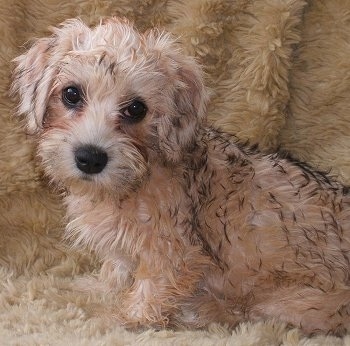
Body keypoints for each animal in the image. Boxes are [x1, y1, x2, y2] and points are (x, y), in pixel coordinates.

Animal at [10, 17, 350, 334]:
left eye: (136, 108)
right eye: (71, 94)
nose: (91, 158)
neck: (137, 178)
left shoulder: (172, 249)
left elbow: (151, 288)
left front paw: (125, 319)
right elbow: (116, 269)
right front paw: (98, 288)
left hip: (295, 303)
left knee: (247, 316)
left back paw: (201, 310)